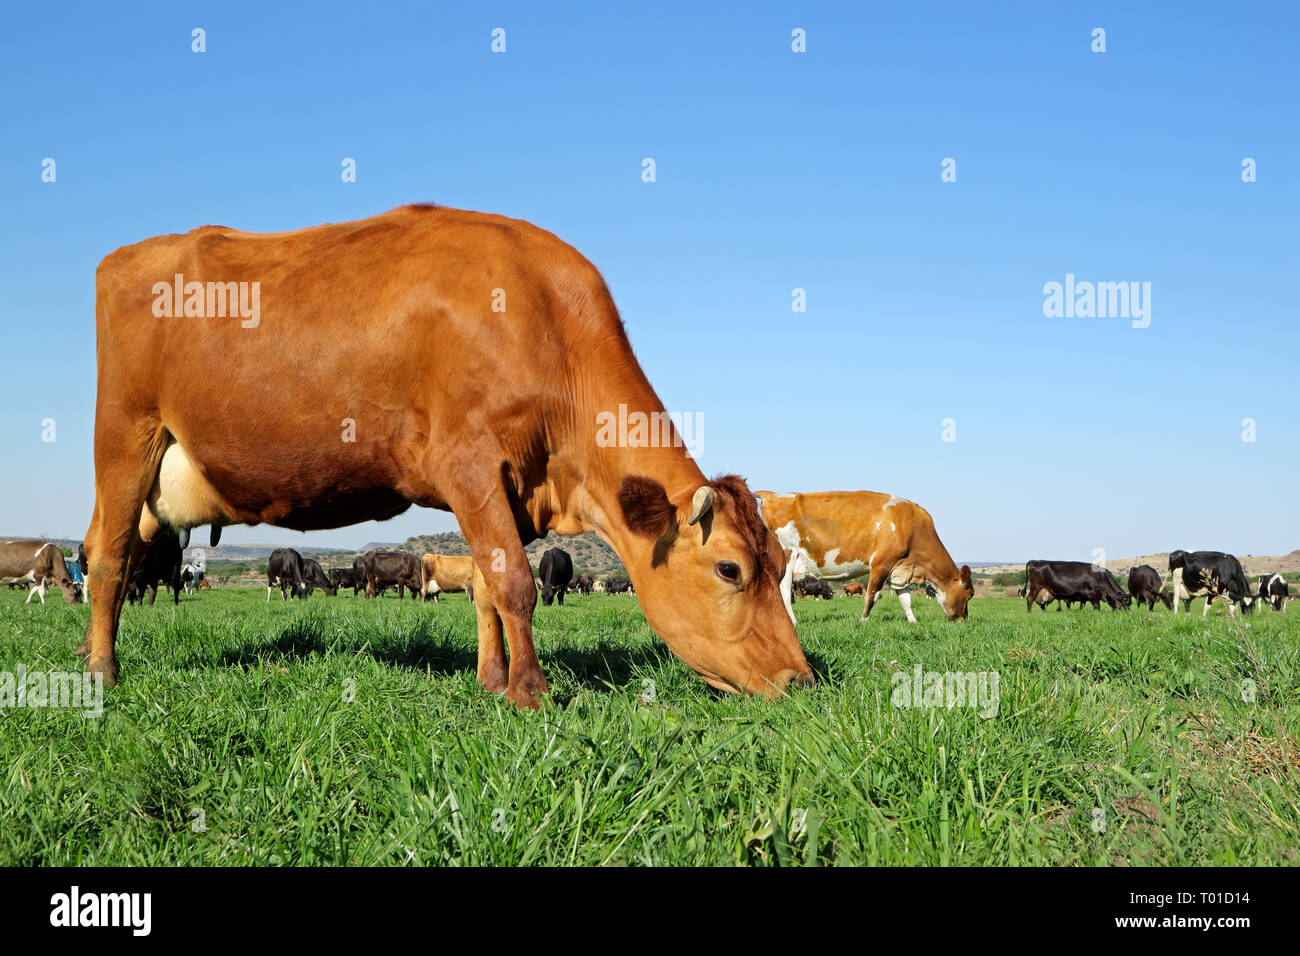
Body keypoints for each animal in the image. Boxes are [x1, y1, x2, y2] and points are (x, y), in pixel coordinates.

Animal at [76, 205, 811, 707]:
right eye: (730, 569)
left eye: (781, 565)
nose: (801, 679)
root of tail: (127, 255)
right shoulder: (471, 466)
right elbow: (515, 585)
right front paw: (532, 692)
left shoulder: (508, 489)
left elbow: (487, 586)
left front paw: (492, 680)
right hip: (124, 437)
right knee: (109, 557)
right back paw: (103, 673)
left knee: (108, 546)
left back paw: (87, 650)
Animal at [748, 489, 972, 624]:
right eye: (970, 594)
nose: (964, 620)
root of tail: (773, 495)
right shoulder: (881, 563)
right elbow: (872, 594)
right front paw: (863, 620)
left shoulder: (899, 569)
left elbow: (905, 599)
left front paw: (913, 621)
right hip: (787, 554)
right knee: (784, 590)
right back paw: (792, 621)